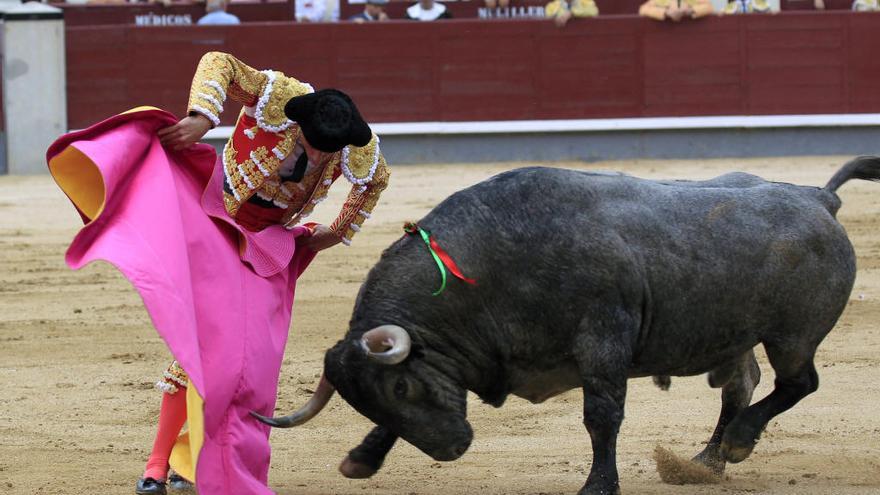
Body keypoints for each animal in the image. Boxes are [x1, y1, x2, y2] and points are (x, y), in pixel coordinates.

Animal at [254, 157, 880, 494]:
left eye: (403, 385)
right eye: (373, 399)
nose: (453, 450)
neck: (488, 265)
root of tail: (816, 197)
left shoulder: (603, 340)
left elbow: (601, 418)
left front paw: (598, 484)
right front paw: (362, 458)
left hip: (792, 337)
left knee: (797, 383)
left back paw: (740, 442)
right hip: (735, 335)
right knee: (741, 384)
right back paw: (707, 459)